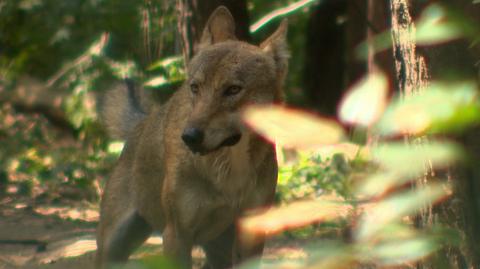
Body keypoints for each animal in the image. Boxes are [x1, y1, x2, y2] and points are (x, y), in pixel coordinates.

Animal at [95, 6, 286, 268]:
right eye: (195, 88)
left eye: (233, 89)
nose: (190, 137)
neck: (228, 171)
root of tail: (142, 123)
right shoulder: (176, 235)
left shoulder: (252, 233)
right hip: (112, 248)